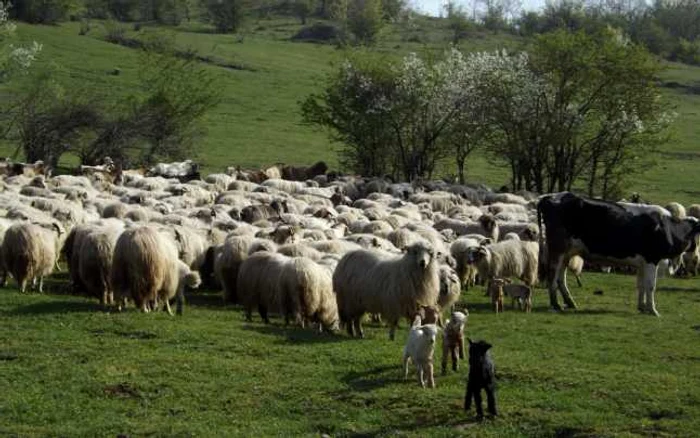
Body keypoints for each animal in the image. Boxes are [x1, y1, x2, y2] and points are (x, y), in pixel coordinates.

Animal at [540, 192, 696, 314]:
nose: (694, 249)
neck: (667, 227)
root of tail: (550, 196)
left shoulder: (643, 263)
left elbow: (641, 285)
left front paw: (642, 307)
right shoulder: (651, 260)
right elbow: (651, 286)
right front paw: (652, 310)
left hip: (567, 253)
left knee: (561, 278)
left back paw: (570, 302)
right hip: (558, 251)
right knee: (552, 275)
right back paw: (556, 304)